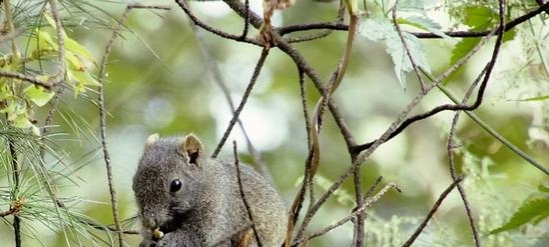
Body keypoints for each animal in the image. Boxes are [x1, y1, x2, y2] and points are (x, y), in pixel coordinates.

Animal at [132, 134, 286, 246]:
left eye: (176, 185)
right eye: (133, 185)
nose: (148, 222)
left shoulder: (218, 210)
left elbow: (198, 236)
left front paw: (169, 241)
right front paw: (147, 239)